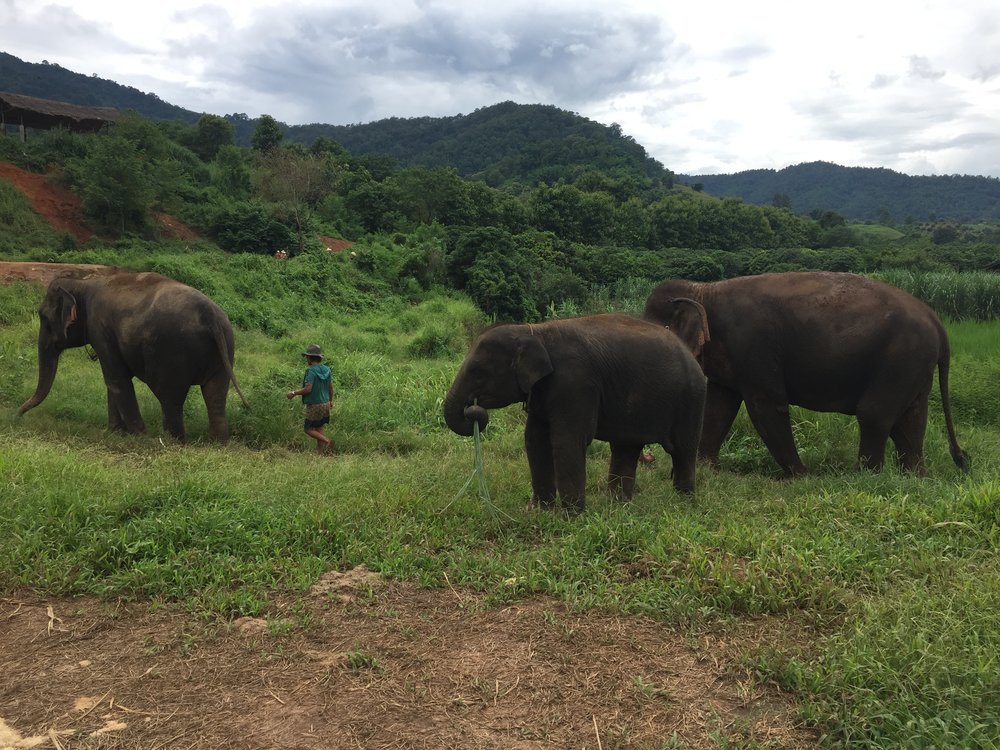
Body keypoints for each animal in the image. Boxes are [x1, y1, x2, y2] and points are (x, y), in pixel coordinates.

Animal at [20, 270, 250, 440]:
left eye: (43, 317)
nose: (18, 415)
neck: (83, 283)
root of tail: (209, 315)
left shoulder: (100, 329)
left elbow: (116, 378)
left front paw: (139, 436)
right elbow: (113, 380)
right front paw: (114, 433)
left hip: (171, 353)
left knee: (170, 399)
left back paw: (171, 441)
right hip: (224, 348)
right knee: (215, 396)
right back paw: (217, 443)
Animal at [442, 312, 708, 516]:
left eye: (477, 371)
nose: (473, 411)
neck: (534, 331)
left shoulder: (575, 384)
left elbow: (567, 440)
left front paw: (571, 516)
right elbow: (535, 440)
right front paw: (539, 510)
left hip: (691, 399)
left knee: (682, 449)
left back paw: (683, 501)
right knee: (626, 447)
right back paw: (619, 505)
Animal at [640, 274, 968, 478]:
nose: (650, 459)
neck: (703, 289)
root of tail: (937, 323)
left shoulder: (754, 346)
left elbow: (767, 406)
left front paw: (802, 475)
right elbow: (719, 406)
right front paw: (707, 468)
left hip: (900, 358)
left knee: (874, 414)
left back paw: (864, 476)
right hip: (914, 365)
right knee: (910, 419)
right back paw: (914, 476)